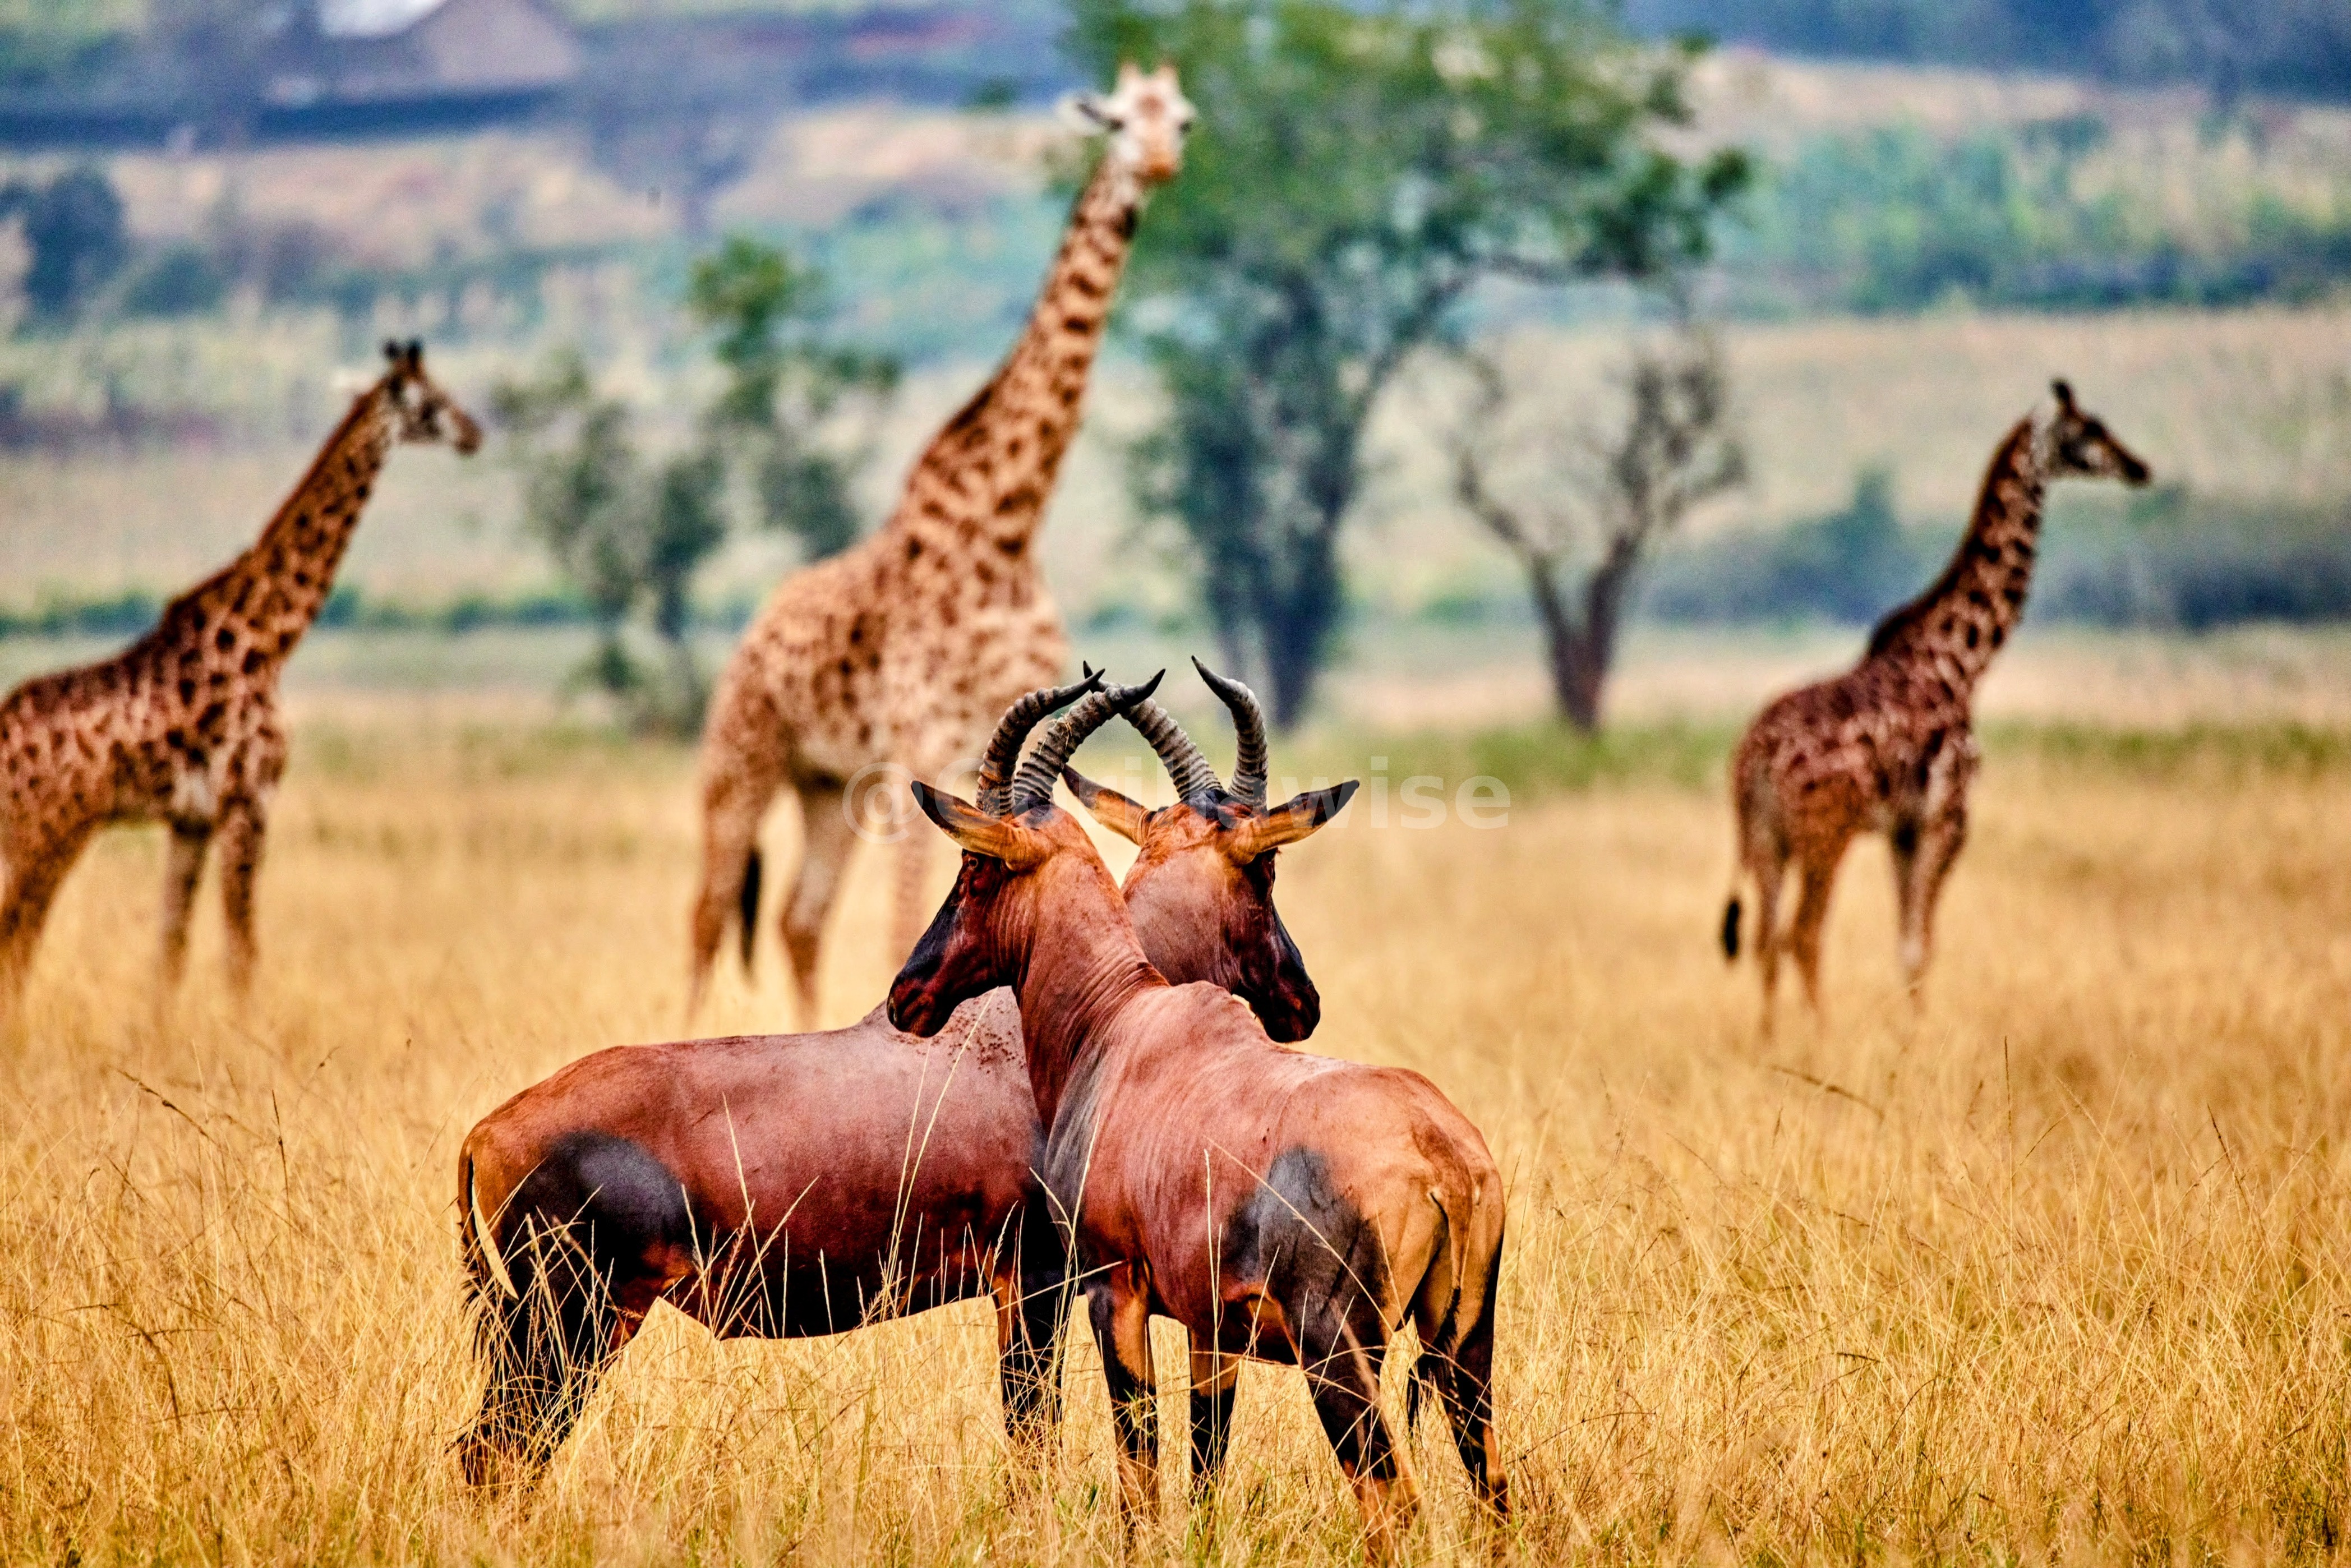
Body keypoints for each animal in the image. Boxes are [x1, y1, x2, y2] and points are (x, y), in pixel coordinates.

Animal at [455, 667, 1330, 1487]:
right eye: (1267, 867)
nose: (1303, 1001)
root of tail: (487, 1134)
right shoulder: (1036, 1281)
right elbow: (1033, 1437)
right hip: (571, 1324)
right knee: (495, 1451)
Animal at [892, 680, 1509, 1562]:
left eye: (975, 867)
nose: (907, 995)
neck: (1126, 1020)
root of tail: (1442, 1161)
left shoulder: (1112, 1289)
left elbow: (1138, 1462)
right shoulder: (1209, 1326)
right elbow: (1204, 1459)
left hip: (1341, 1354)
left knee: (1396, 1506)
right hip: (1465, 1346)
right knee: (1496, 1494)